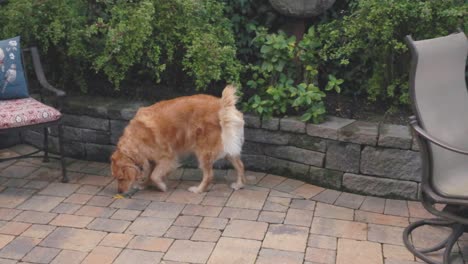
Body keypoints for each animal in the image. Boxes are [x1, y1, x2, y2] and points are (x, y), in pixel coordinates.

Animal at [112, 85, 247, 194]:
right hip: (229, 146)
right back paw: (239, 185)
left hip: (204, 151)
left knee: (209, 175)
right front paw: (143, 184)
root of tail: (222, 105)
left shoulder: (167, 157)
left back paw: (198, 190)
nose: (119, 192)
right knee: (240, 165)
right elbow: (149, 172)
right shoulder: (150, 159)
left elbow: (154, 175)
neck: (136, 139)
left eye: (121, 178)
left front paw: (161, 186)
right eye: (116, 178)